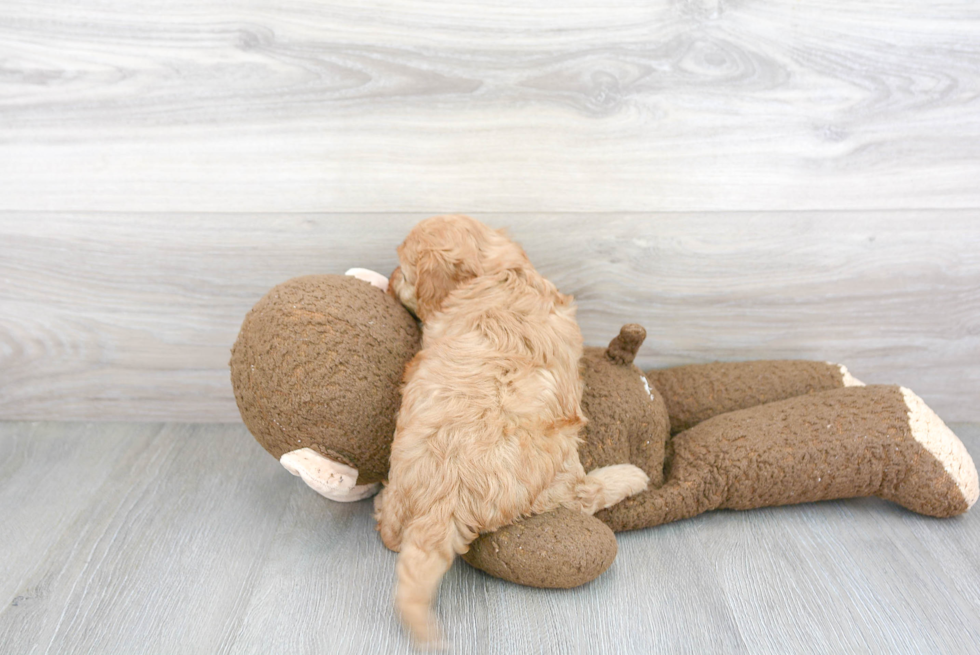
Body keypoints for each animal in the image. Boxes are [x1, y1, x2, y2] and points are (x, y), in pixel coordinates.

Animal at [378, 217, 652, 644]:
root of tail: (444, 497)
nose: (389, 281)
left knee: (390, 532)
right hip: (559, 459)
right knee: (583, 495)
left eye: (404, 273)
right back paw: (630, 475)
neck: (498, 272)